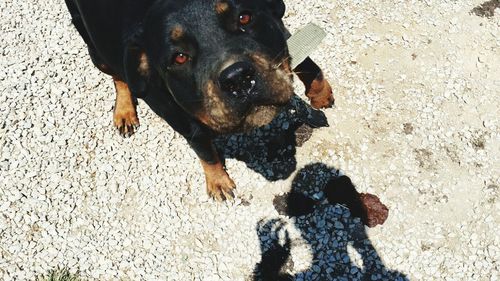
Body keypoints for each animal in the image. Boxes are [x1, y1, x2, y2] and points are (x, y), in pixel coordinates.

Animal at [64, 0, 334, 199]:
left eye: (244, 18)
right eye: (179, 57)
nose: (238, 78)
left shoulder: (280, 33)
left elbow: (306, 64)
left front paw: (320, 93)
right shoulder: (182, 120)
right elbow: (205, 150)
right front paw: (219, 182)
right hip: (94, 47)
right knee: (117, 75)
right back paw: (124, 111)